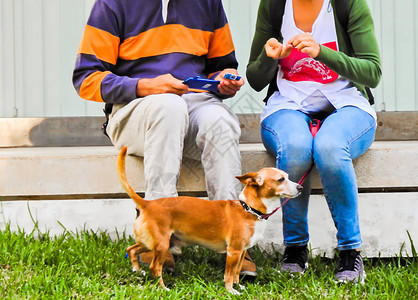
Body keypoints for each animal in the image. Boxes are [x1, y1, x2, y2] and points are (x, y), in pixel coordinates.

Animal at [116, 146, 300, 294]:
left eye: (288, 176)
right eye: (281, 179)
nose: (300, 187)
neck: (248, 209)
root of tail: (147, 204)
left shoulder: (241, 252)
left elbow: (236, 273)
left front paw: (238, 286)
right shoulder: (233, 252)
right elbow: (229, 274)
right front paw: (231, 291)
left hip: (150, 242)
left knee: (131, 249)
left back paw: (137, 271)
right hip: (161, 245)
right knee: (155, 267)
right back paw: (163, 288)